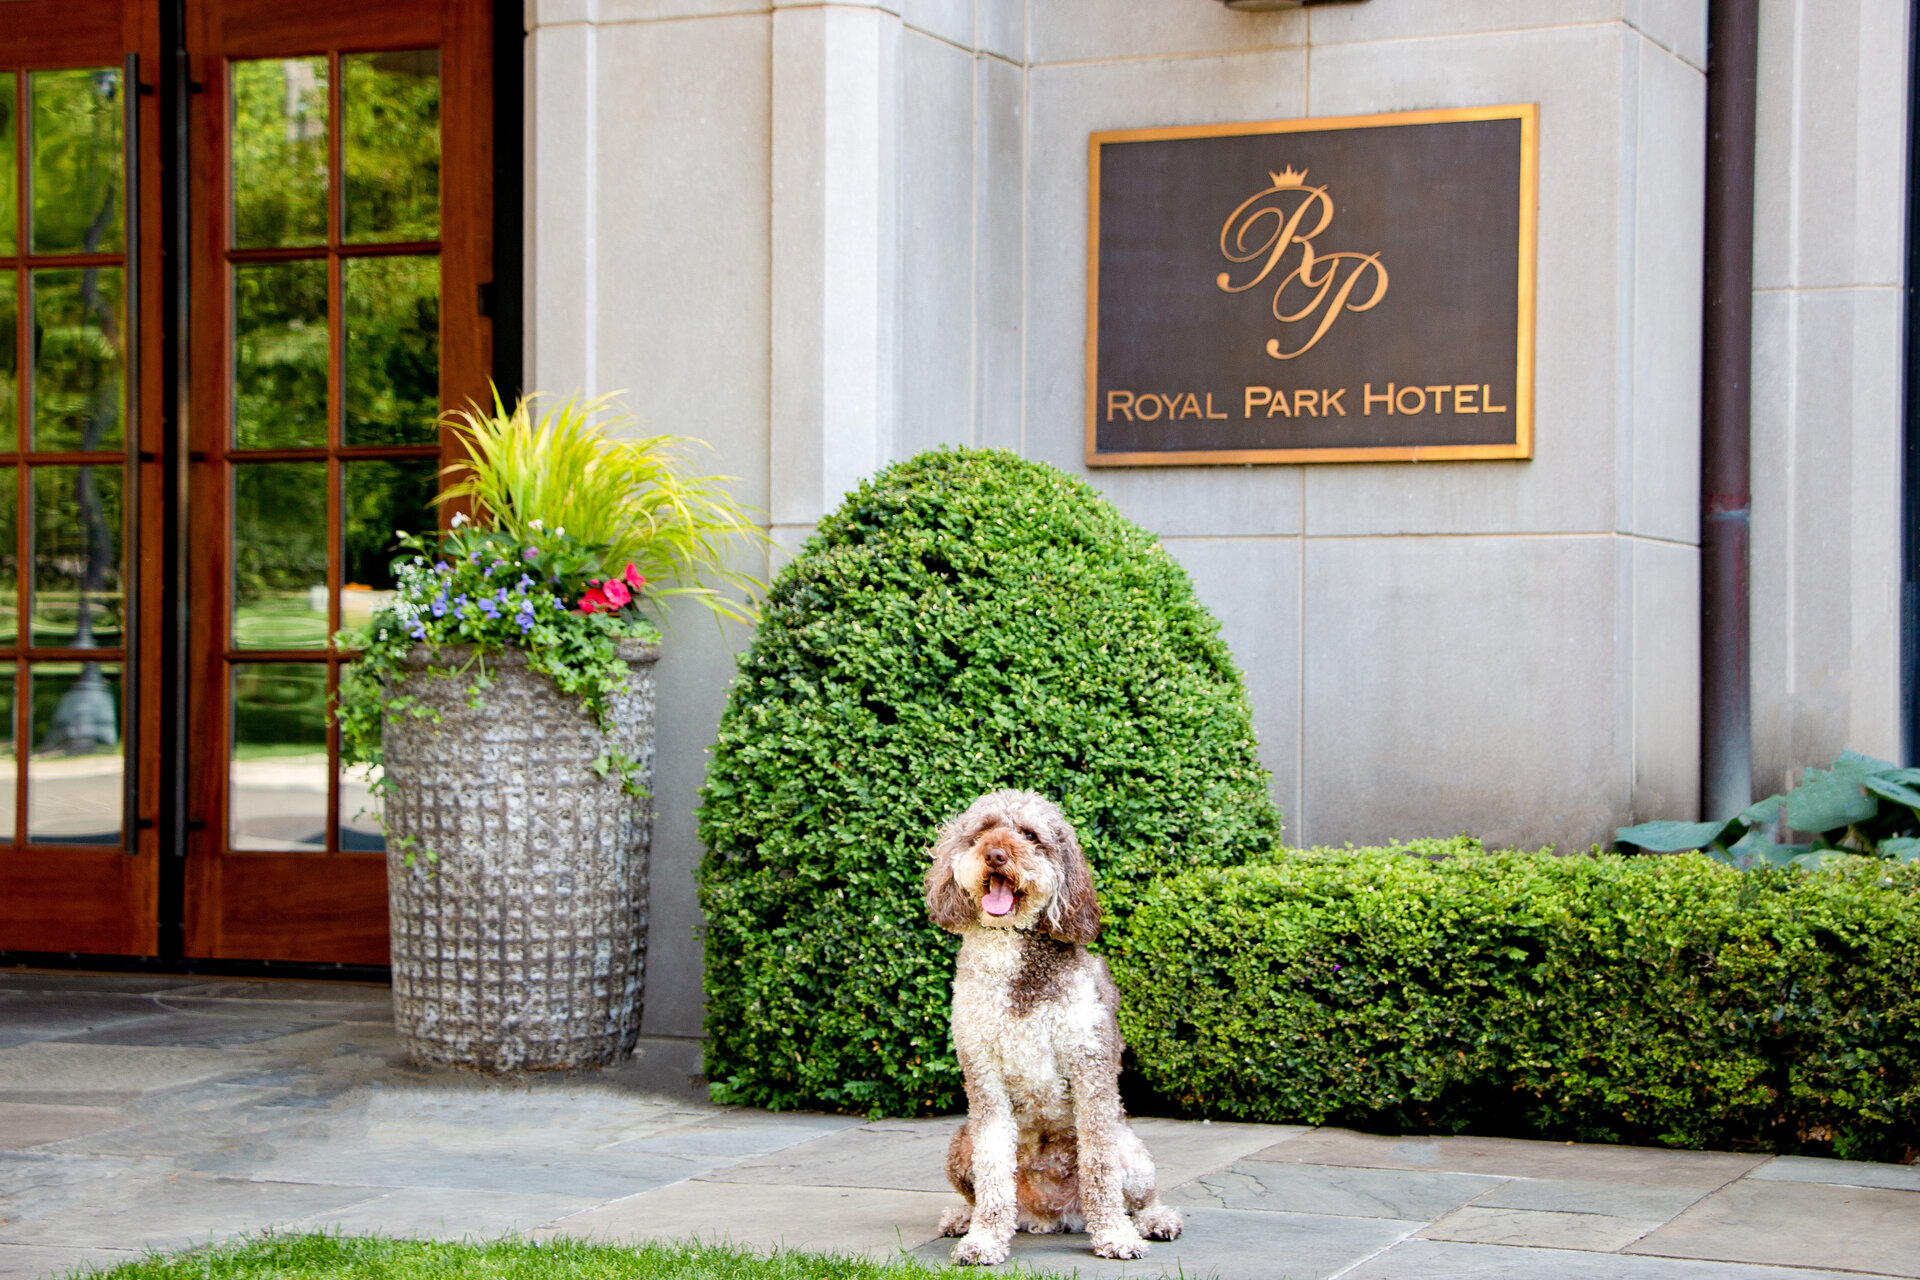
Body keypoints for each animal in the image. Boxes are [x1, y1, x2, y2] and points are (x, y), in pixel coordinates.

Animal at [921, 790, 1175, 1274]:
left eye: (1031, 835)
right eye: (982, 831)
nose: (996, 854)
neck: (1013, 953)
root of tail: (1050, 1215)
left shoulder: (1091, 1071)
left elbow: (1099, 1167)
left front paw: (1115, 1235)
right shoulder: (984, 1079)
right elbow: (994, 1172)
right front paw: (984, 1240)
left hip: (1133, 1152)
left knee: (1140, 1195)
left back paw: (1153, 1220)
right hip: (960, 1143)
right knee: (978, 1192)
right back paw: (963, 1217)